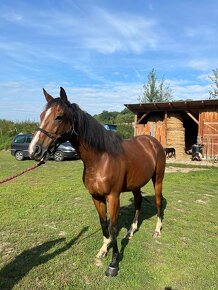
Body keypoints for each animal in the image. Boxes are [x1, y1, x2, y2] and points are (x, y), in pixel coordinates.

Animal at [29, 88, 165, 276]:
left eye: (59, 117)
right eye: (42, 115)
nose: (34, 149)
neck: (101, 159)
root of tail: (153, 141)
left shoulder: (113, 197)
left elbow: (113, 228)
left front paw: (113, 264)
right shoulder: (96, 197)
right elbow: (104, 224)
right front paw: (103, 249)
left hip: (157, 179)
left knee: (158, 202)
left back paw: (157, 230)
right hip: (135, 185)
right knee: (138, 202)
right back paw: (131, 231)